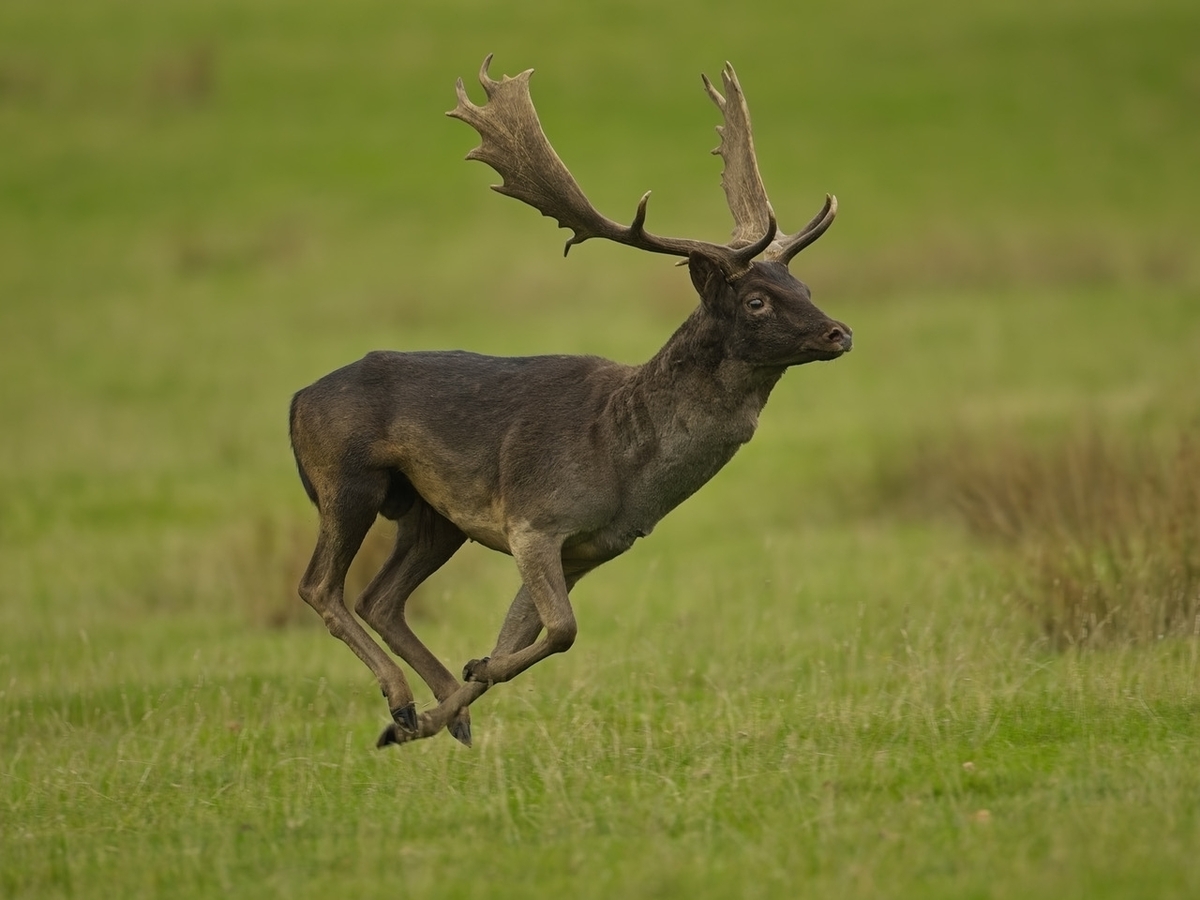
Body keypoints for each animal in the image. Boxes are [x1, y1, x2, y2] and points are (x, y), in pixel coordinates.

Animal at [288, 56, 852, 749]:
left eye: (804, 286)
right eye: (757, 301)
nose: (839, 332)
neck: (623, 462)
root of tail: (296, 400)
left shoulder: (586, 549)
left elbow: (524, 634)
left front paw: (453, 695)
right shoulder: (535, 519)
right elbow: (564, 630)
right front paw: (461, 681)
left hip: (432, 515)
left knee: (380, 597)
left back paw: (430, 714)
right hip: (346, 478)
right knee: (321, 587)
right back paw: (400, 697)